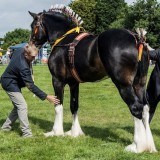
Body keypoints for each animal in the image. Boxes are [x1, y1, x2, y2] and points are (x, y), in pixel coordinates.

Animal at [28, 4, 156, 152]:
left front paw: (56, 132)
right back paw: (149, 145)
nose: (30, 46)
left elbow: (58, 105)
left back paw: (137, 146)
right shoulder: (74, 83)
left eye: (33, 25)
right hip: (139, 83)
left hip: (123, 84)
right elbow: (74, 106)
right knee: (145, 108)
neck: (64, 40)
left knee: (135, 107)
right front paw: (75, 132)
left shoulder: (57, 80)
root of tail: (136, 37)